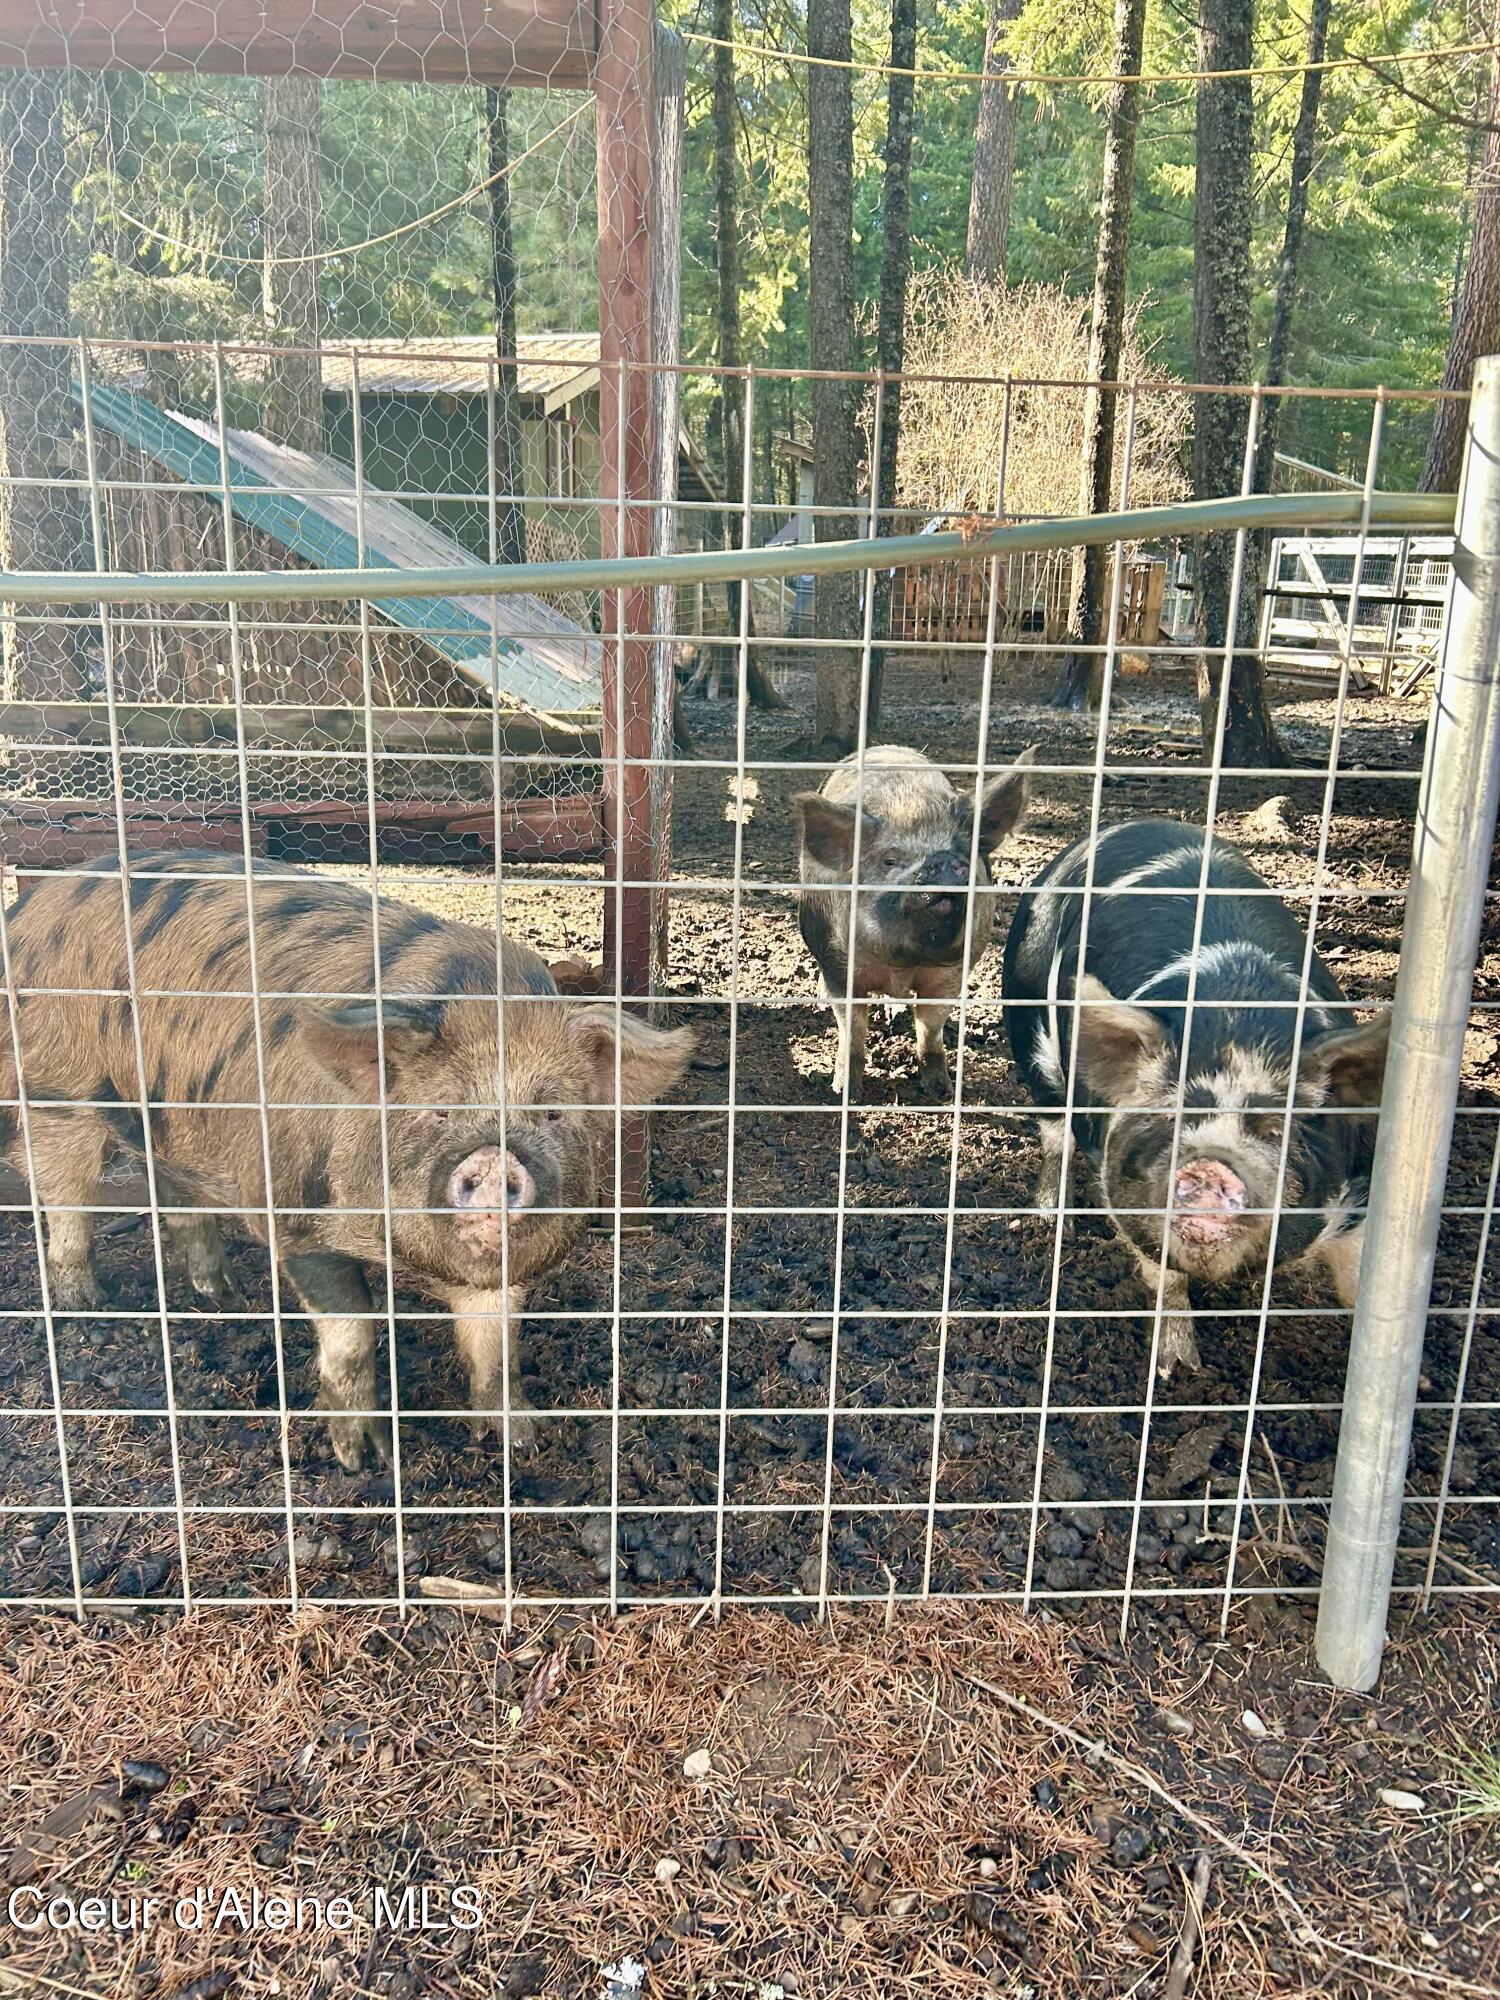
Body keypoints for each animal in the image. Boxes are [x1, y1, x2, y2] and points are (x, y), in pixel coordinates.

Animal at [0, 852, 693, 1469]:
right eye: (440, 1110)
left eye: (550, 1113)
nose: (497, 1159)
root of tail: (30, 904)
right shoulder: (295, 1209)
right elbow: (352, 1331)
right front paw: (363, 1459)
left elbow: (496, 1343)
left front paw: (521, 1442)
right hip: (56, 1087)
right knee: (62, 1192)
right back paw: (85, 1304)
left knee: (175, 1194)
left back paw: (227, 1297)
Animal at [793, 744, 1034, 1095]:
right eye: (890, 861)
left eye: (964, 850)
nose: (943, 859)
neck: (903, 962)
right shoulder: (839, 966)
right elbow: (853, 1031)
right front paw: (843, 1091)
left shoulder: (952, 972)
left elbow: (930, 1027)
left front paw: (940, 1091)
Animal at [1001, 818, 1389, 1375]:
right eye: (1170, 1118)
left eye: (1276, 1127)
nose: (1209, 1165)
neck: (1237, 1015)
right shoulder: (1120, 1185)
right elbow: (1164, 1275)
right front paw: (1178, 1370)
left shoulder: (1358, 1178)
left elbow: (1357, 1274)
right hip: (1029, 1020)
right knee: (1055, 1133)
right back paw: (1054, 1221)